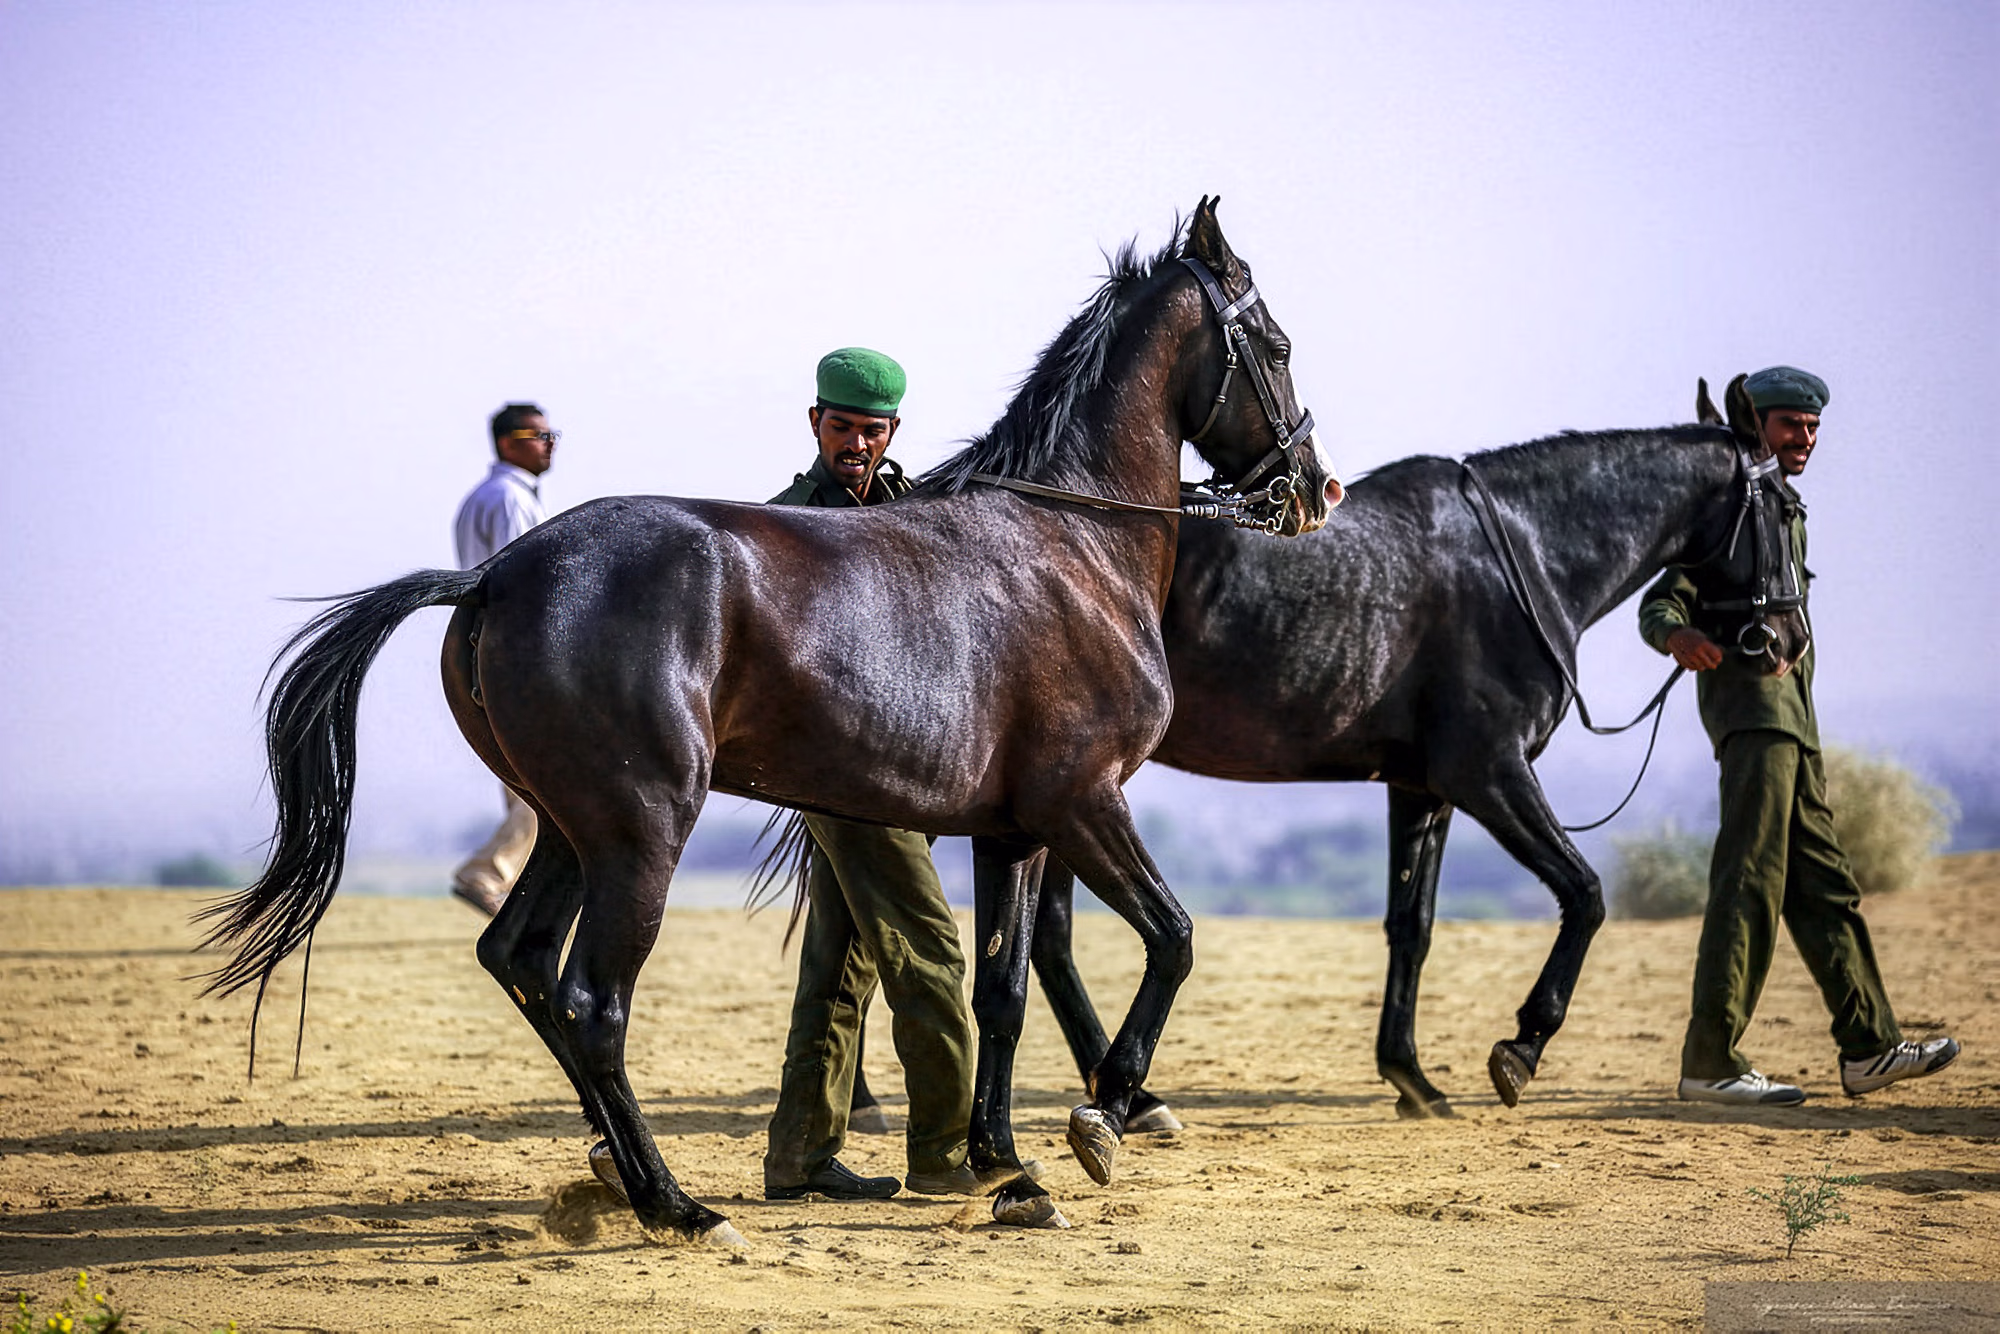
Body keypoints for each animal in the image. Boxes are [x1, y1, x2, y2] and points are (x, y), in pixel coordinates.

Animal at [199, 197, 1339, 1244]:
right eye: (1277, 344)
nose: (1314, 488)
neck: (1069, 543)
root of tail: (496, 575)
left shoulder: (1012, 830)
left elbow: (1000, 990)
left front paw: (1003, 1165)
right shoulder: (1084, 802)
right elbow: (1172, 938)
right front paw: (1102, 1116)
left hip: (570, 829)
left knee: (520, 960)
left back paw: (611, 1168)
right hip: (640, 831)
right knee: (590, 1002)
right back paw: (673, 1203)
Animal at [1002, 394, 1812, 1124]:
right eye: (1782, 506)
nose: (1788, 639)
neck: (1525, 556)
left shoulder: (1423, 789)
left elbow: (1411, 925)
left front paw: (1410, 1076)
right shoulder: (1489, 770)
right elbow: (1584, 894)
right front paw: (1522, 1046)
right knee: (1056, 938)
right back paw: (1131, 1097)